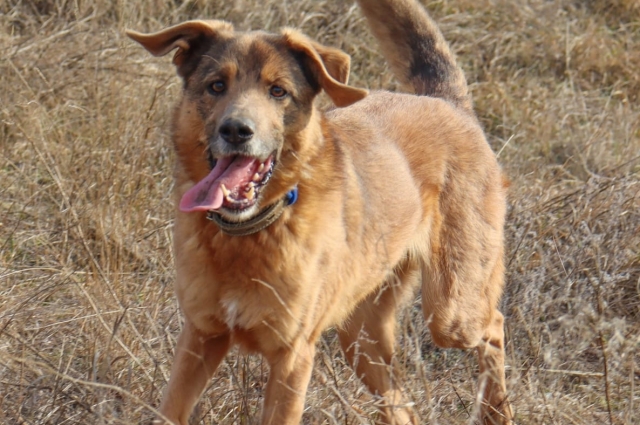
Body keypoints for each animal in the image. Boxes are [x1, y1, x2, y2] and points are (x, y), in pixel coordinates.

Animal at [127, 0, 512, 422]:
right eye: (216, 85)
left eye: (278, 91)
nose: (236, 130)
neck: (251, 234)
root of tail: (446, 103)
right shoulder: (200, 336)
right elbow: (171, 408)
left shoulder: (292, 357)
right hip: (361, 337)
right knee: (400, 403)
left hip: (451, 312)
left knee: (494, 325)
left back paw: (497, 411)